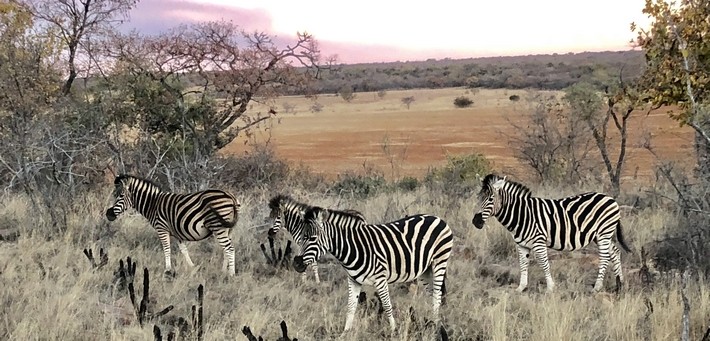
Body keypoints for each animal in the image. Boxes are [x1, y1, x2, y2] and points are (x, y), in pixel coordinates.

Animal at [104, 174, 241, 274]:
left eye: (120, 196)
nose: (108, 214)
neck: (153, 204)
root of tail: (231, 196)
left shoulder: (161, 228)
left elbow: (167, 249)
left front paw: (168, 270)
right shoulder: (177, 232)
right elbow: (184, 250)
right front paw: (192, 267)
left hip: (218, 227)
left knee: (229, 248)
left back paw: (231, 274)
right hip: (227, 229)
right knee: (226, 248)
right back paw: (223, 270)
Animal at [294, 205, 456, 332]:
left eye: (313, 238)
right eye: (300, 237)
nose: (296, 263)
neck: (354, 248)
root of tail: (437, 218)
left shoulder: (380, 279)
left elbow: (387, 305)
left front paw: (394, 331)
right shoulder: (353, 280)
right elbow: (351, 307)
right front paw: (346, 332)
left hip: (439, 261)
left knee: (437, 294)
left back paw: (435, 325)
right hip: (425, 270)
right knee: (433, 293)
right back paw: (432, 321)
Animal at [472, 174, 636, 290]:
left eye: (491, 199)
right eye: (479, 197)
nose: (476, 221)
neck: (522, 214)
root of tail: (611, 199)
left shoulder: (539, 241)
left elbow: (544, 263)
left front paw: (551, 287)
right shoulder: (521, 244)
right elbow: (523, 264)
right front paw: (521, 288)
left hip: (603, 233)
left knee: (605, 257)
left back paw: (597, 287)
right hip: (600, 235)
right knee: (615, 252)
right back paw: (620, 283)